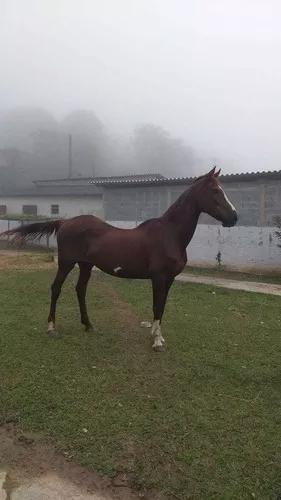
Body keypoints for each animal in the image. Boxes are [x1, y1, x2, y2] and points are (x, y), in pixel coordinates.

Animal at [1, 166, 236, 350]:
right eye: (215, 190)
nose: (234, 217)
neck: (170, 233)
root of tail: (64, 222)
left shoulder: (169, 280)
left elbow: (161, 307)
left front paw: (157, 336)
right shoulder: (159, 278)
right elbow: (157, 307)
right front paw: (156, 342)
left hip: (85, 265)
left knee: (80, 289)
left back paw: (88, 325)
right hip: (66, 263)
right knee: (56, 288)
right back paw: (51, 327)